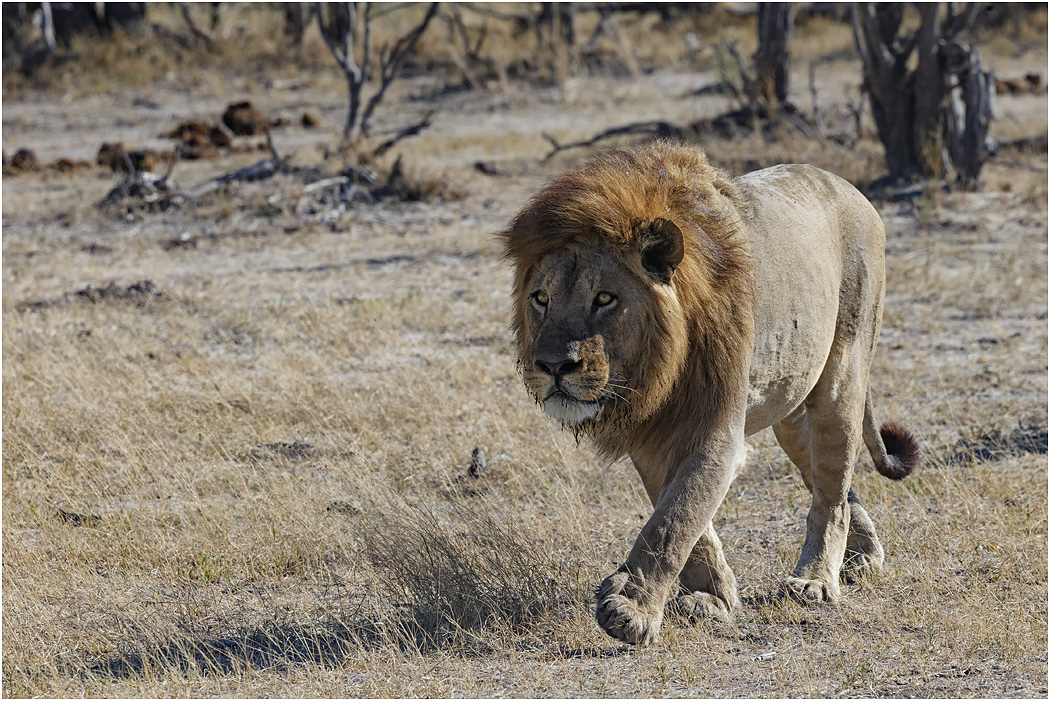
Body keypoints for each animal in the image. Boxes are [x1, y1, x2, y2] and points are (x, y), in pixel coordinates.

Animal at [503, 141, 920, 646]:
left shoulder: (715, 428)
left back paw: (816, 581)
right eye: (541, 298)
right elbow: (685, 520)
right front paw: (713, 598)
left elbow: (674, 519)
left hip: (842, 375)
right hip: (790, 406)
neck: (655, 370)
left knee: (831, 491)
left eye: (604, 298)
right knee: (830, 482)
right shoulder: (651, 434)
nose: (553, 366)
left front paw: (631, 608)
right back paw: (863, 557)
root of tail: (850, 188)